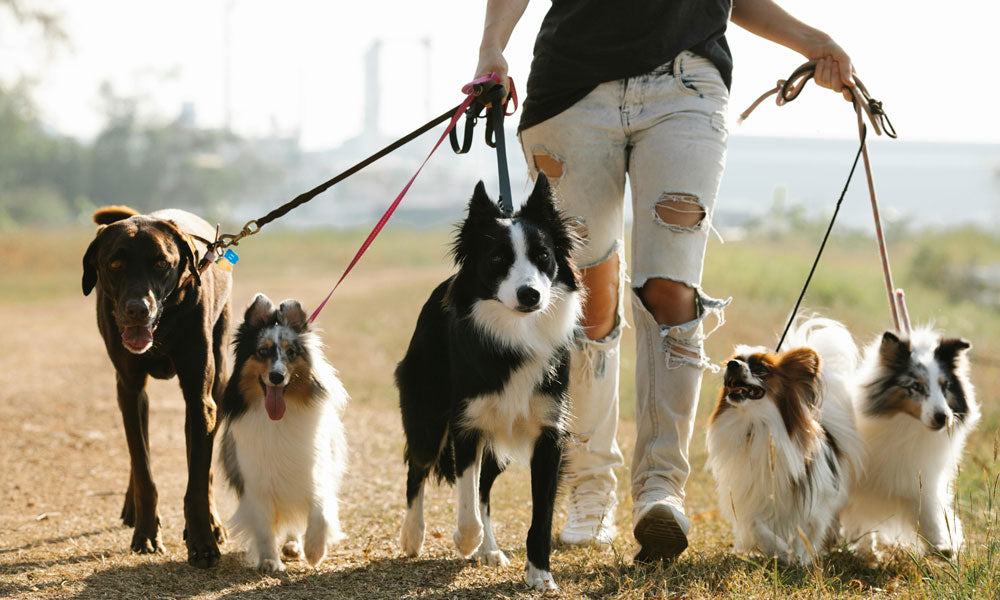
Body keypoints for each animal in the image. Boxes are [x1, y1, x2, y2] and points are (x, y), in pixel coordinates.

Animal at [83, 206, 231, 568]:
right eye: (115, 264)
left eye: (162, 263)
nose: (138, 309)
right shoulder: (129, 388)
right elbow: (143, 468)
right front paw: (147, 533)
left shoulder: (199, 398)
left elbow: (197, 480)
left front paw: (203, 541)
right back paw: (132, 507)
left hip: (218, 381)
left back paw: (213, 522)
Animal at [219, 296, 348, 572]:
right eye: (262, 351)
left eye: (291, 352)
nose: (276, 377)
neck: (278, 420)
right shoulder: (255, 482)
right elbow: (264, 528)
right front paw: (269, 561)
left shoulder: (314, 472)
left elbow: (320, 511)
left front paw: (314, 551)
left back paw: (294, 545)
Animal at [396, 173, 584, 592]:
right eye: (498, 259)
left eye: (543, 256)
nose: (530, 294)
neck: (515, 333)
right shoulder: (467, 423)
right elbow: (465, 497)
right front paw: (465, 540)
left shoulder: (549, 431)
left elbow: (540, 513)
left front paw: (540, 574)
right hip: (428, 412)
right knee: (418, 467)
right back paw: (414, 536)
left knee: (484, 486)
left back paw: (490, 548)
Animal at [704, 316, 868, 564]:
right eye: (735, 360)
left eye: (761, 368)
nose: (732, 364)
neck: (755, 424)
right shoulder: (751, 493)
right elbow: (756, 525)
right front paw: (779, 551)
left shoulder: (813, 500)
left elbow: (805, 531)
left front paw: (799, 558)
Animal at [840, 328, 980, 556]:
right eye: (916, 386)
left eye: (946, 386)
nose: (943, 417)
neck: (907, 427)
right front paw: (863, 547)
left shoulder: (918, 479)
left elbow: (929, 512)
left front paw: (943, 545)